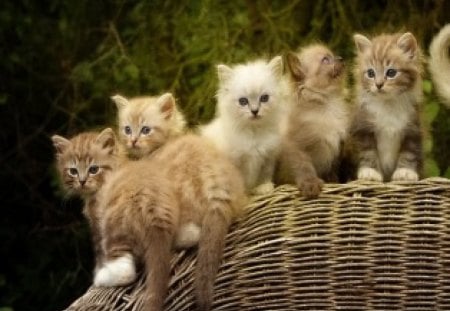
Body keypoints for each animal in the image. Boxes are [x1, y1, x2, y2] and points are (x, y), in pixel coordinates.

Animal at [200, 56, 288, 195]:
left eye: (264, 98)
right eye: (243, 101)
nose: (255, 111)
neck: (254, 133)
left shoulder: (268, 157)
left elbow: (265, 175)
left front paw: (264, 188)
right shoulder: (235, 161)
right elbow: (238, 180)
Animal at [274, 44, 348, 197]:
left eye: (333, 55)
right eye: (325, 60)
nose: (341, 58)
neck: (328, 104)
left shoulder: (336, 150)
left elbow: (333, 171)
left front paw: (333, 182)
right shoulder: (296, 147)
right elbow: (304, 167)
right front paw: (310, 184)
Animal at [352, 31, 422, 183]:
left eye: (391, 73)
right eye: (370, 73)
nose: (378, 84)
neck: (388, 104)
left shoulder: (413, 128)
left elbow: (409, 152)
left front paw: (405, 172)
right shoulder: (364, 128)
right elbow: (368, 152)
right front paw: (370, 172)